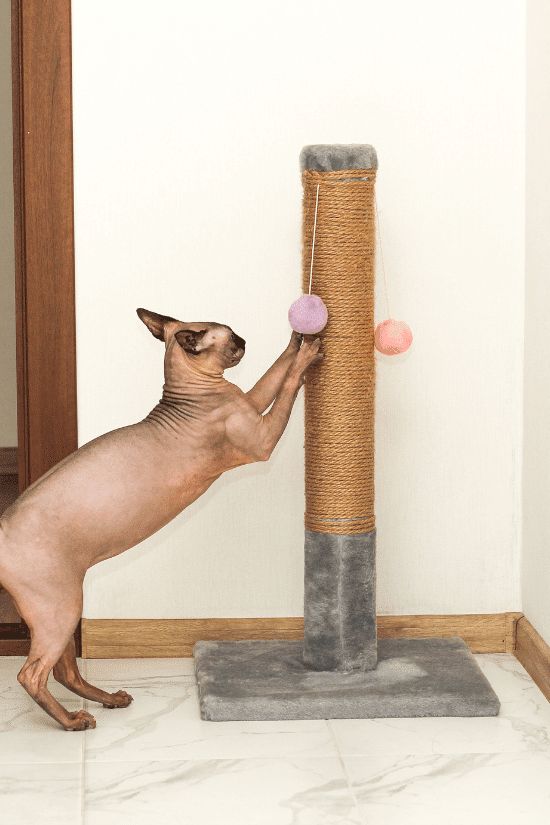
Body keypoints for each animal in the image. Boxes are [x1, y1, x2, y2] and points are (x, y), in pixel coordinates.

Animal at [0, 308, 324, 728]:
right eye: (231, 338)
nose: (245, 341)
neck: (198, 393)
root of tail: (2, 525)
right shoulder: (262, 439)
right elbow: (285, 388)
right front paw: (308, 355)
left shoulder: (250, 402)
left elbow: (275, 372)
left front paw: (298, 338)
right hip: (60, 608)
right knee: (32, 674)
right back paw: (72, 721)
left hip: (65, 609)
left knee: (64, 670)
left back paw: (109, 700)